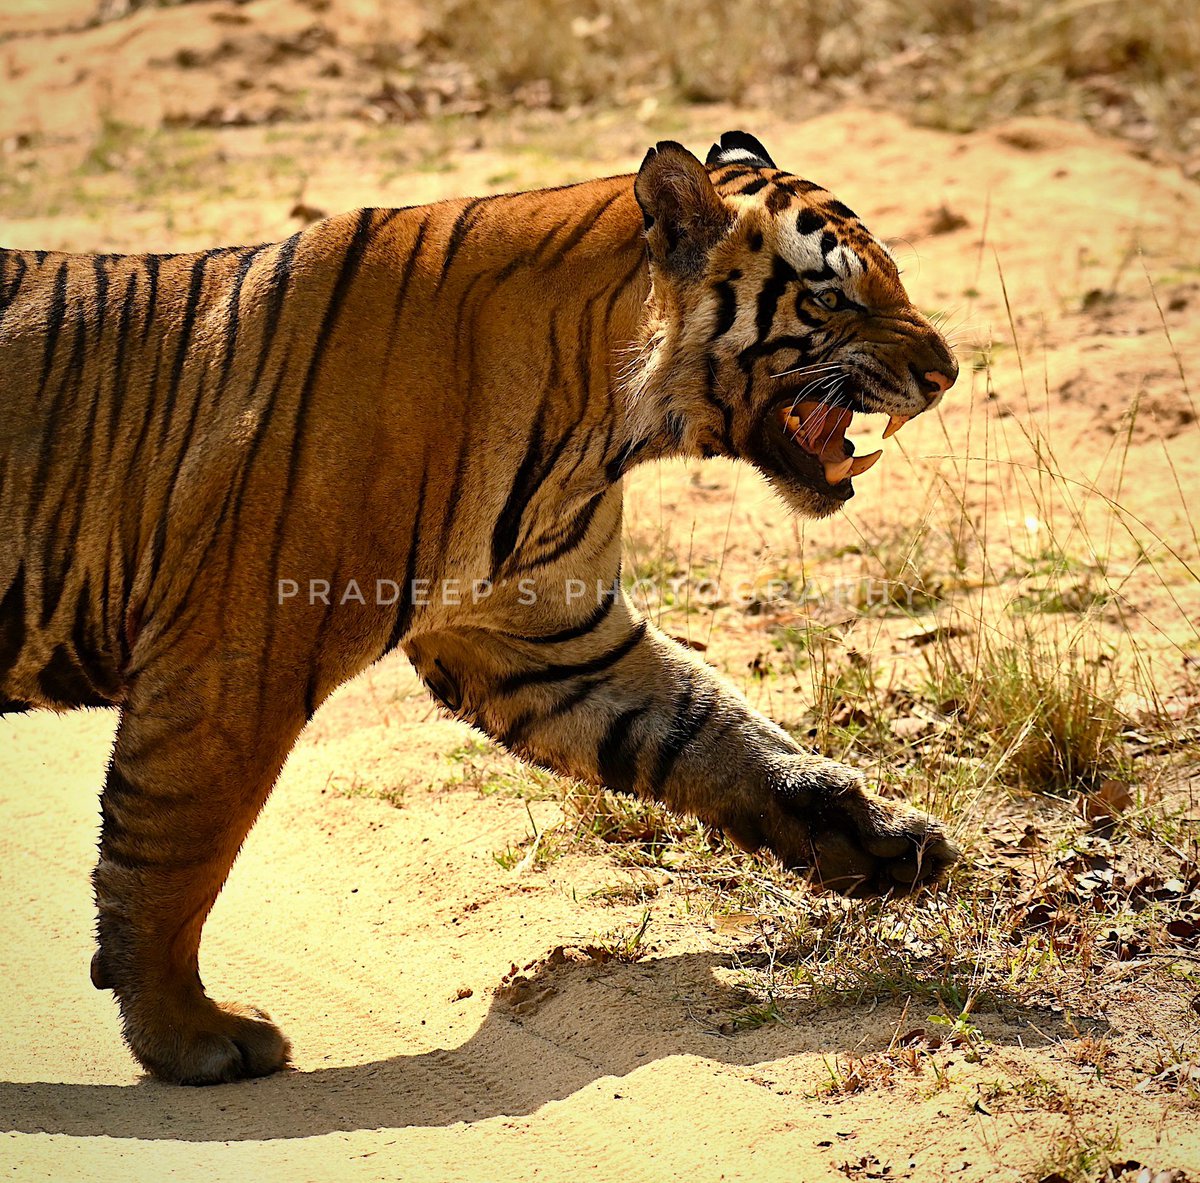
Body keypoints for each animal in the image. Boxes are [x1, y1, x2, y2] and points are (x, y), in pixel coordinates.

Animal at [0, 128, 955, 1079]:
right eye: (831, 296)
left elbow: (718, 733)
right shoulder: (233, 661)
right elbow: (173, 853)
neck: (601, 421)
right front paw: (187, 1030)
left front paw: (882, 837)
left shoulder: (552, 640)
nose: (947, 372)